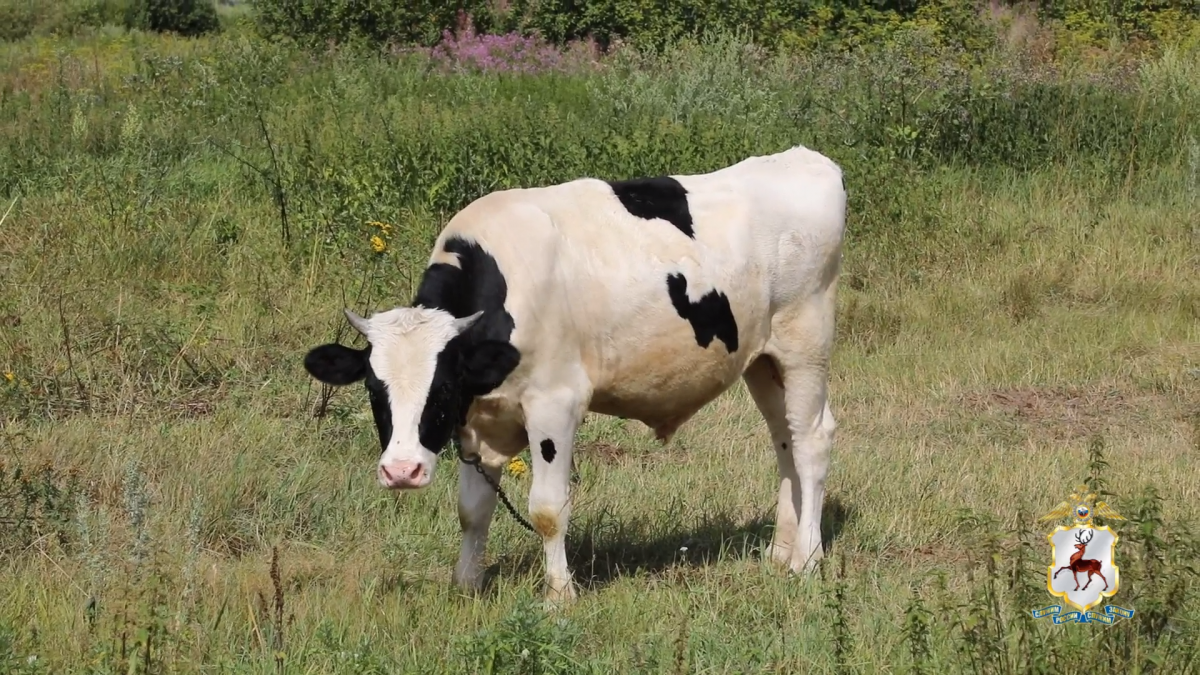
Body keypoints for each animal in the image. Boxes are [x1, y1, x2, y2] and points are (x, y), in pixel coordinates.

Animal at [304, 142, 849, 598]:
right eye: (375, 389)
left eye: (440, 387)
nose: (402, 472)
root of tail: (805, 157)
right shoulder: (476, 421)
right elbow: (472, 511)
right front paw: (466, 585)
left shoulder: (555, 403)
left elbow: (547, 509)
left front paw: (559, 595)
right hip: (763, 361)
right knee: (784, 439)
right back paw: (780, 553)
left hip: (805, 342)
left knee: (812, 440)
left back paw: (807, 560)